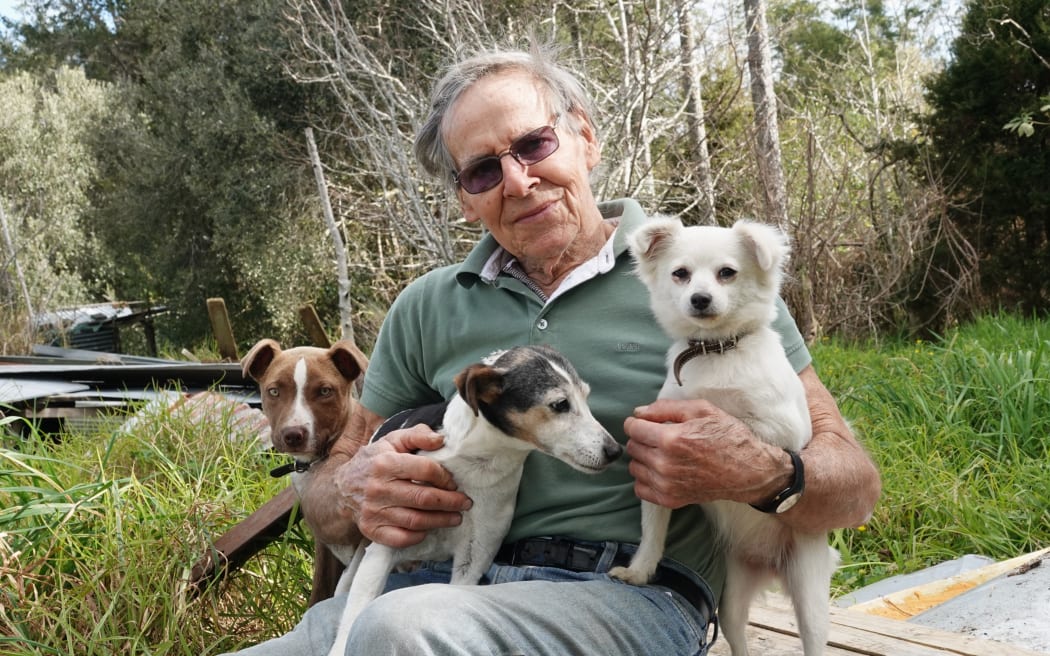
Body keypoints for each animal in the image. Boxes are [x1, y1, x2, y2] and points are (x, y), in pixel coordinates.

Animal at [613, 217, 839, 650]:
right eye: (680, 274)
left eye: (727, 273)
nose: (700, 298)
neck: (715, 351)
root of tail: (769, 562)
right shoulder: (653, 465)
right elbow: (653, 532)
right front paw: (640, 571)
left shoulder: (782, 428)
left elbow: (734, 426)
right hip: (731, 598)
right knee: (738, 637)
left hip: (810, 596)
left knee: (814, 639)